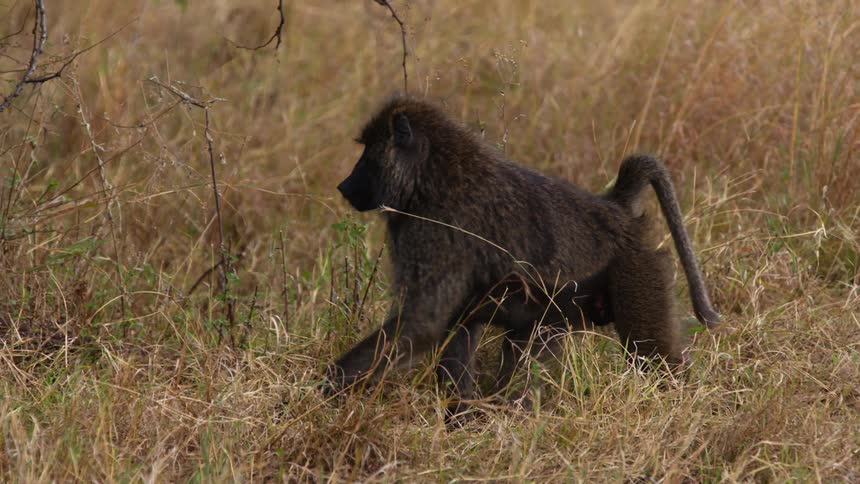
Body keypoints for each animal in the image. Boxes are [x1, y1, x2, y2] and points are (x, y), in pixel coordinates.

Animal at [326, 96, 719, 421]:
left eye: (368, 151)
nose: (344, 185)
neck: (432, 176)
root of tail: (616, 209)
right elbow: (458, 328)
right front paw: (461, 420)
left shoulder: (433, 233)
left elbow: (422, 322)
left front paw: (324, 388)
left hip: (637, 270)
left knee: (650, 356)